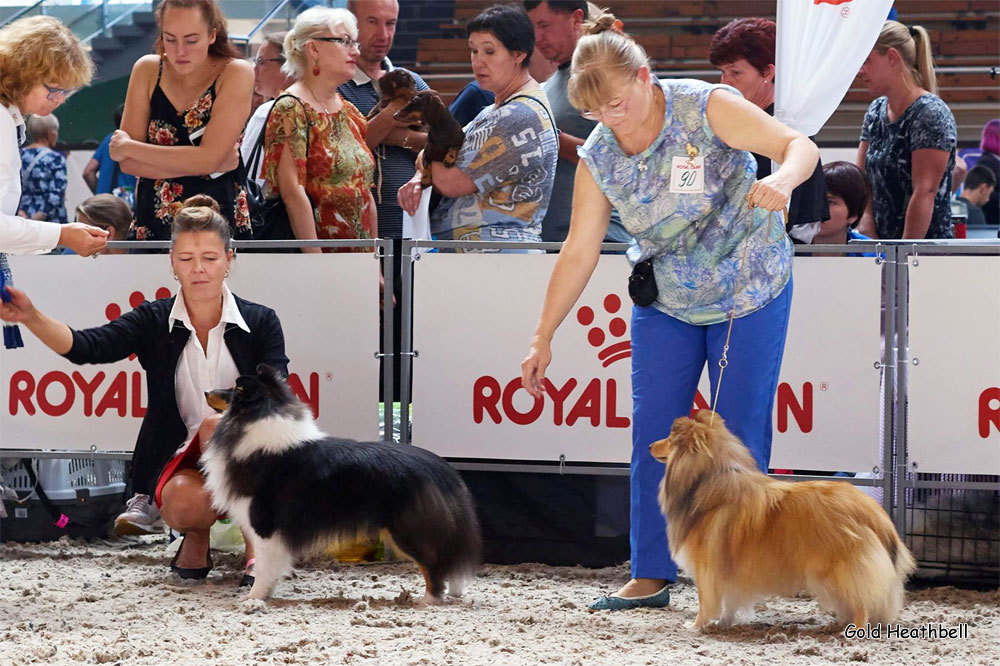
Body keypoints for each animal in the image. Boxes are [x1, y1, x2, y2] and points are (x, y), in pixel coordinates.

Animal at [200, 366, 480, 604]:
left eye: (235, 389)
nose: (206, 391)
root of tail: (444, 469)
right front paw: (265, 594)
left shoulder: (264, 525)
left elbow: (264, 566)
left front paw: (253, 598)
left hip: (407, 529)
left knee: (433, 564)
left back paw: (427, 600)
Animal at [648, 408, 916, 632]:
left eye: (669, 439)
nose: (650, 445)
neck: (706, 479)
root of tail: (873, 512)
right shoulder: (729, 572)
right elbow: (730, 602)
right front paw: (725, 623)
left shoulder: (706, 569)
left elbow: (706, 602)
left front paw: (695, 626)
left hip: (842, 570)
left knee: (861, 602)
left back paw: (853, 630)